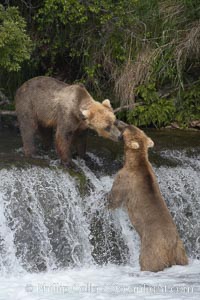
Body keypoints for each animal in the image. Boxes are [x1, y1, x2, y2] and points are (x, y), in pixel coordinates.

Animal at [108, 122, 188, 272]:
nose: (118, 121)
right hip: (180, 250)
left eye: (126, 127)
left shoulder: (125, 178)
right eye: (129, 125)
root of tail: (170, 248)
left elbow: (114, 199)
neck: (135, 161)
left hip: (152, 248)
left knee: (147, 261)